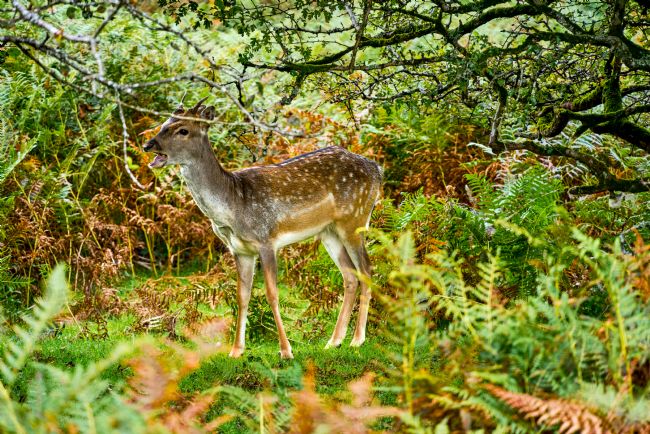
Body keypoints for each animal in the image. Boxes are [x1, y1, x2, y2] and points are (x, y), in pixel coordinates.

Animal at [143, 98, 383, 359]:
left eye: (183, 130)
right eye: (164, 123)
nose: (148, 144)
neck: (233, 206)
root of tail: (377, 170)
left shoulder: (266, 240)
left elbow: (272, 293)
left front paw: (286, 351)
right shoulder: (240, 250)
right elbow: (242, 295)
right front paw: (236, 351)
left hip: (355, 219)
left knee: (367, 270)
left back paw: (357, 340)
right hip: (329, 231)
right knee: (350, 275)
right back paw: (334, 341)